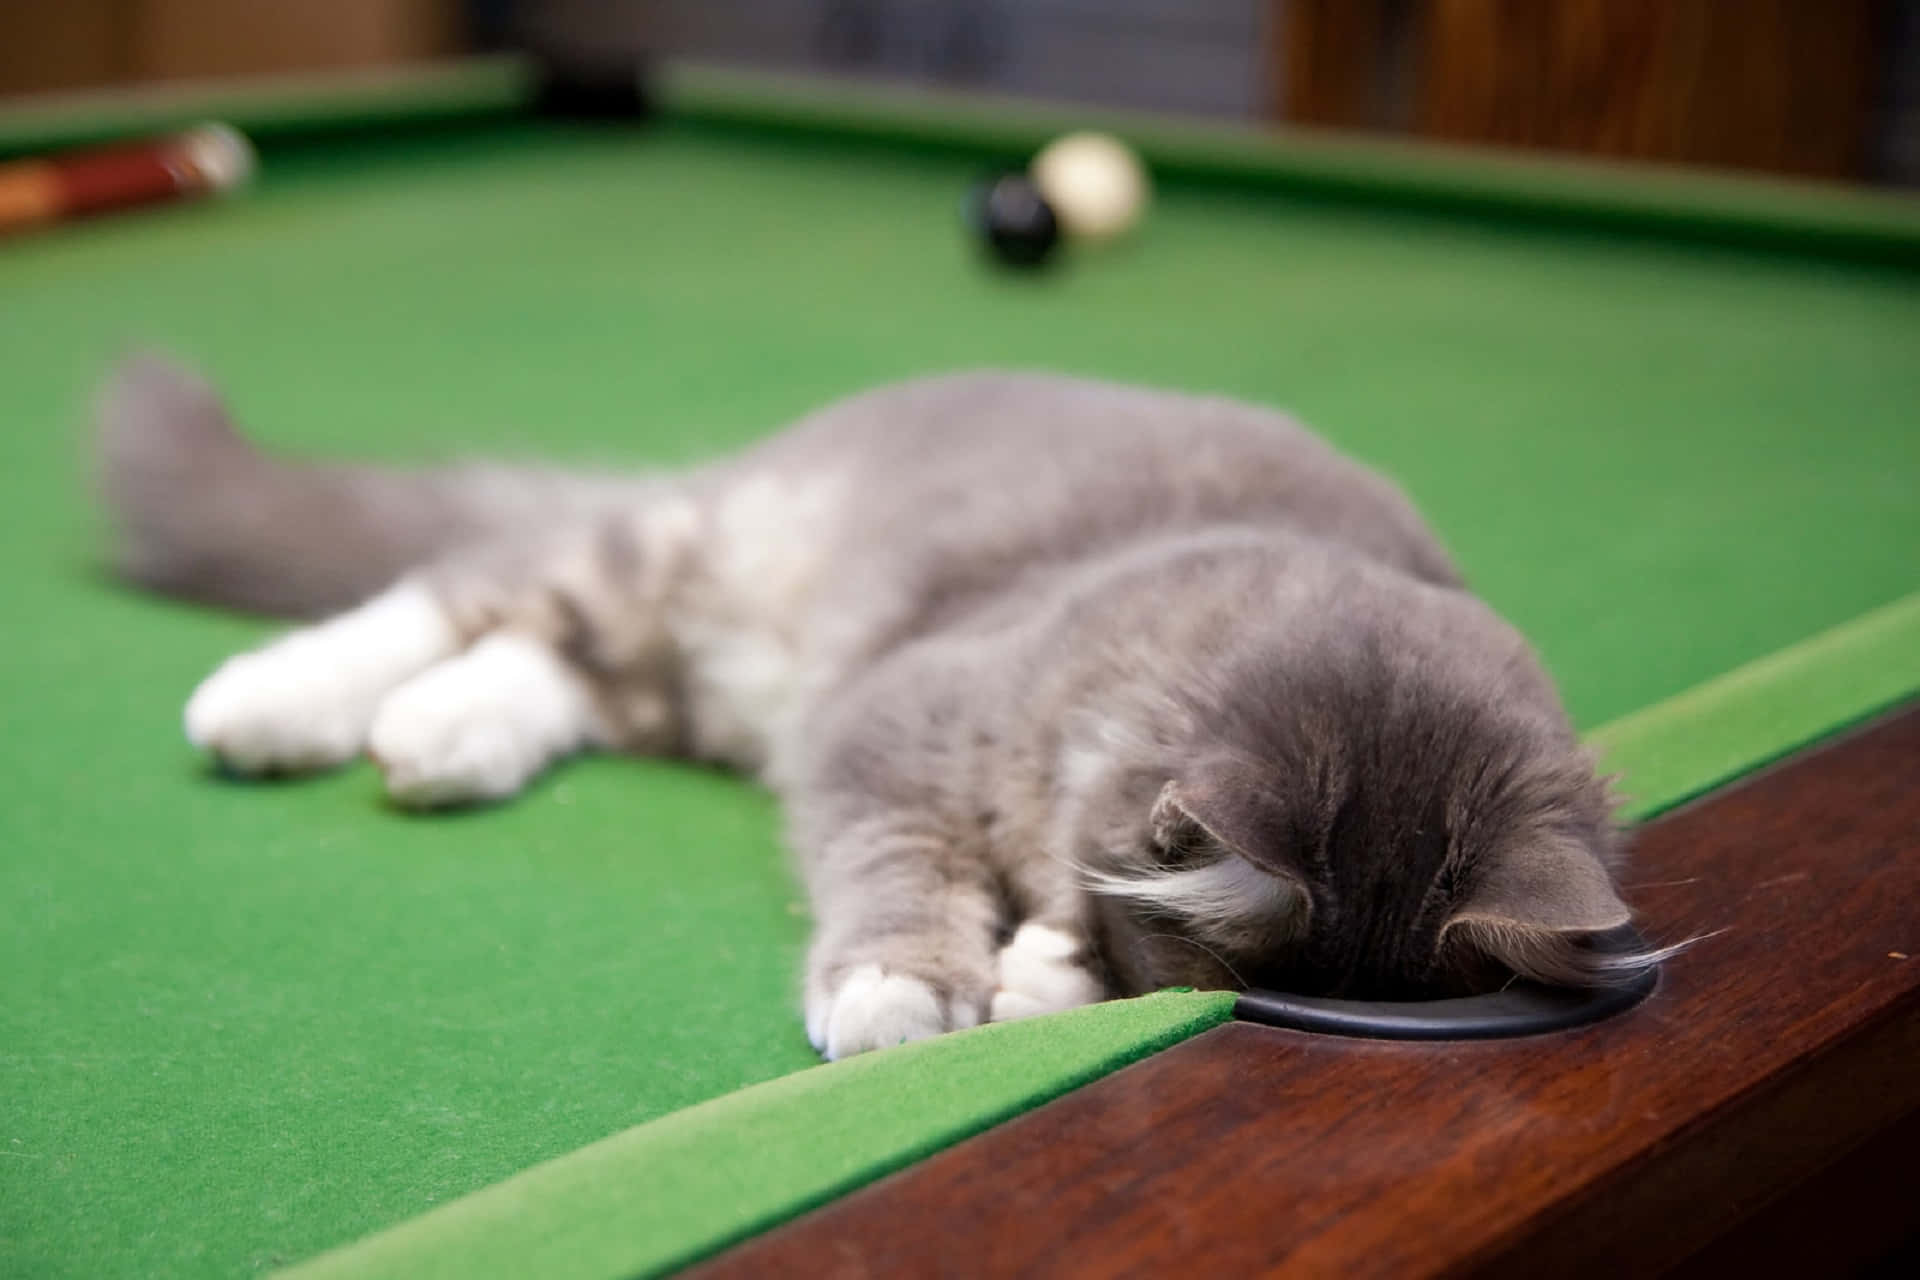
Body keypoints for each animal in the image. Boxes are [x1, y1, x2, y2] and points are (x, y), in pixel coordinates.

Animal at [97, 355, 1658, 1059]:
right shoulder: (890, 728)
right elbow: (897, 866)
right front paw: (907, 991)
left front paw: (1043, 972)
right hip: (669, 559)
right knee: (455, 591)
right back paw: (271, 703)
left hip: (691, 667)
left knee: (553, 673)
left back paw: (437, 742)